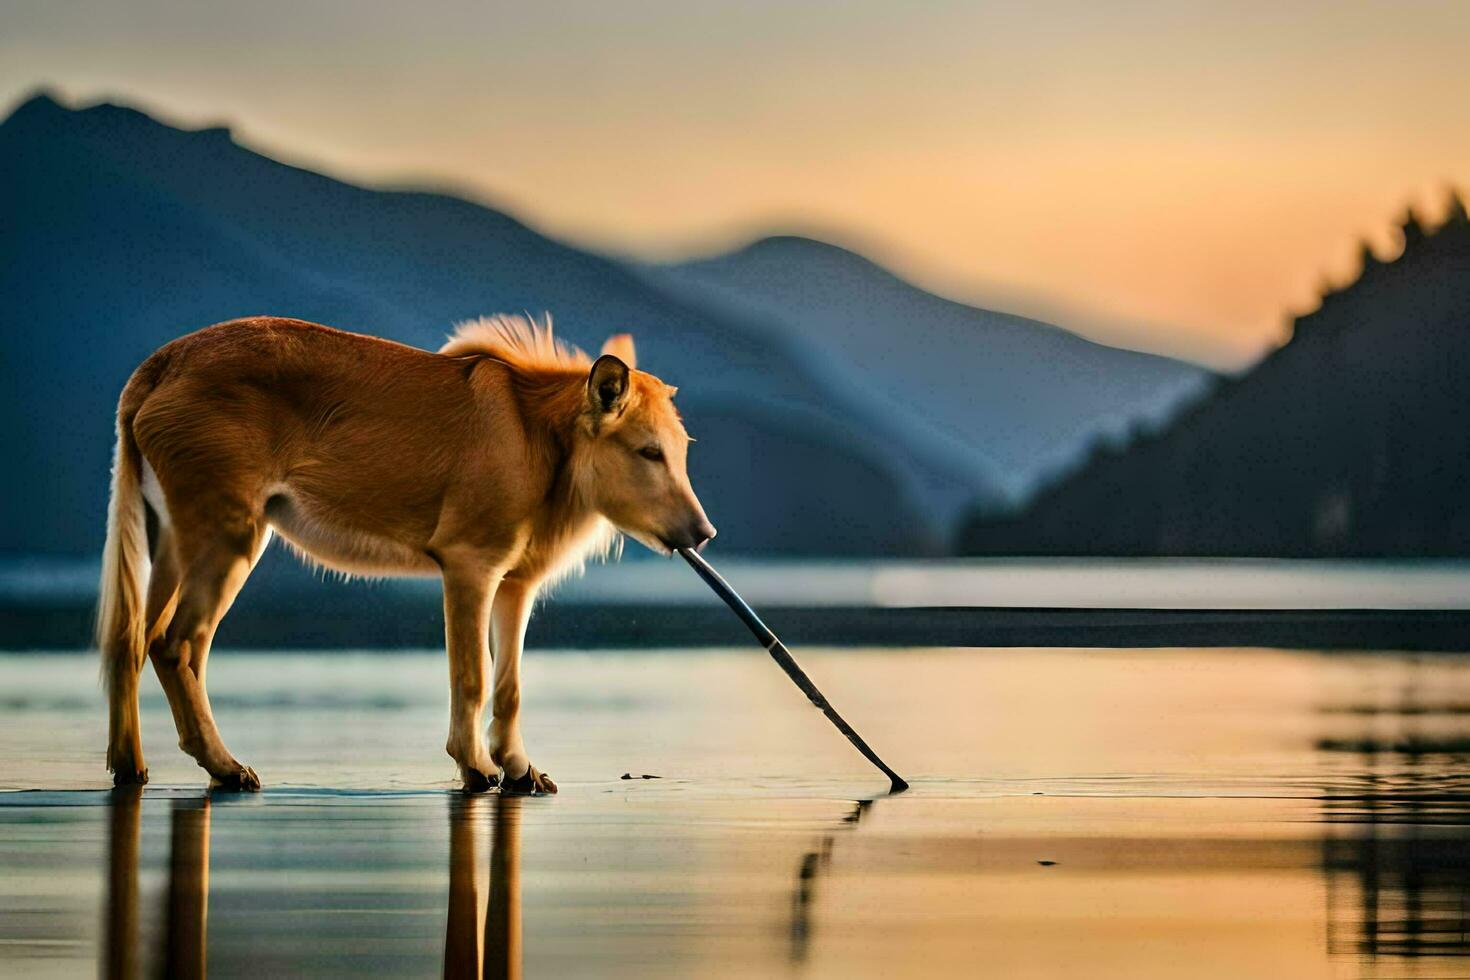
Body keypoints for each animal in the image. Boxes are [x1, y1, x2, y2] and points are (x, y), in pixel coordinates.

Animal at [94, 318, 714, 793]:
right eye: (649, 453)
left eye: (682, 452)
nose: (704, 532)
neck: (543, 440)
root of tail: (163, 362)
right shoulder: (469, 566)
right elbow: (473, 676)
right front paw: (476, 766)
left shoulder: (515, 584)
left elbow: (509, 687)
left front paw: (519, 769)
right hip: (231, 536)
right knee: (177, 645)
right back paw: (223, 767)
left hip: (173, 541)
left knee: (132, 641)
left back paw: (132, 767)